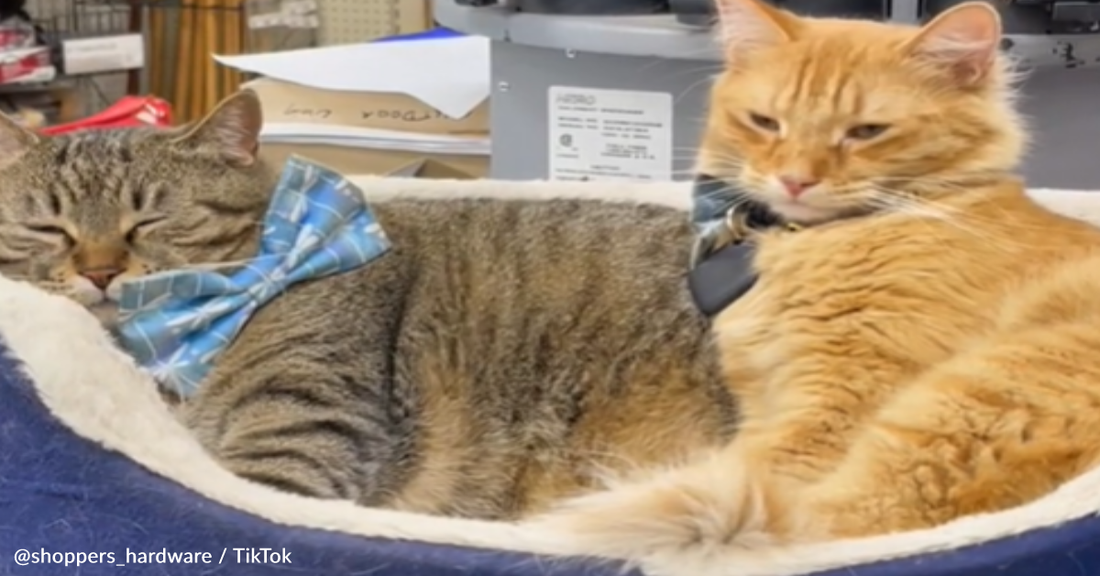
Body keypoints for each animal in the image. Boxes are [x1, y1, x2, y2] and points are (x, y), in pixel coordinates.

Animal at [523, 0, 1100, 567]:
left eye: (867, 131)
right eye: (765, 122)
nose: (795, 180)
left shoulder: (828, 408)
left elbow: (759, 469)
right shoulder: (761, 400)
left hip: (971, 399)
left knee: (827, 521)